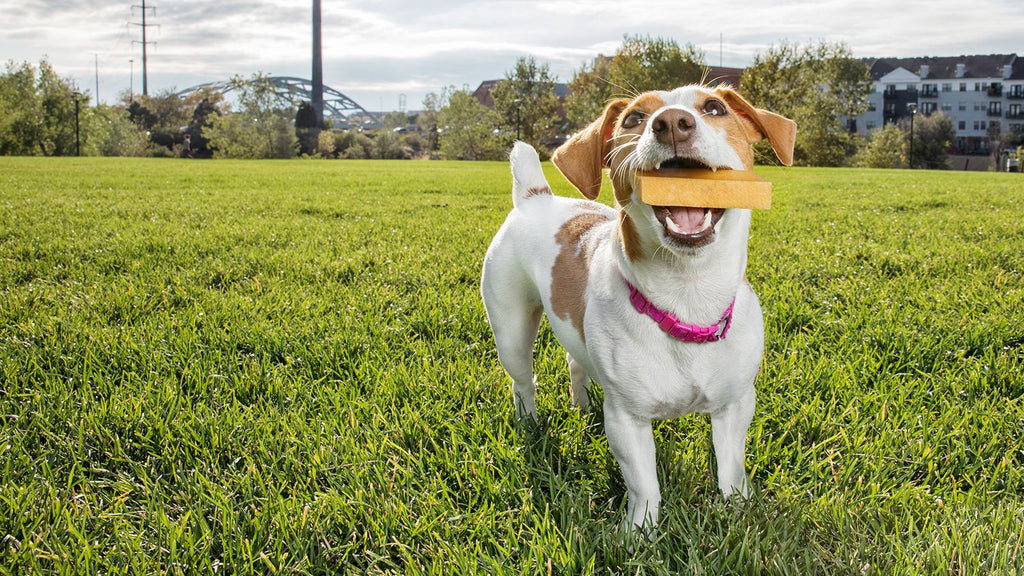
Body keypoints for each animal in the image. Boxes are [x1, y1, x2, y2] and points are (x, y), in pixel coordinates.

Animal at [475, 85, 794, 528]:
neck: (688, 295)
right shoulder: (627, 420)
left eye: (714, 108)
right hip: (511, 331)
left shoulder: (735, 404)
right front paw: (639, 531)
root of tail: (534, 198)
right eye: (632, 119)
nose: (672, 122)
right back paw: (529, 425)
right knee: (522, 381)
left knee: (576, 360)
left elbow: (731, 467)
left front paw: (739, 508)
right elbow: (644, 485)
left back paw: (582, 404)